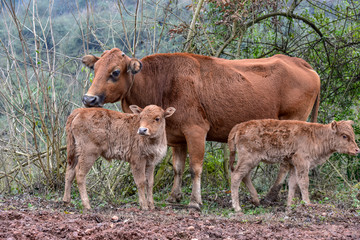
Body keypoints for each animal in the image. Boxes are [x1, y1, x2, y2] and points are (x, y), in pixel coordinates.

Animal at [80, 47, 320, 209]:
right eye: (95, 68)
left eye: (115, 72)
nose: (89, 98)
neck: (161, 82)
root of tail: (299, 62)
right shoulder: (176, 135)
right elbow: (178, 167)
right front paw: (174, 196)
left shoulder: (196, 130)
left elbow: (195, 167)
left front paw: (195, 201)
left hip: (293, 122)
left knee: (286, 164)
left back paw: (271, 195)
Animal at [229, 119, 358, 212]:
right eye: (344, 136)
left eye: (353, 134)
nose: (357, 150)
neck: (317, 136)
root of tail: (239, 126)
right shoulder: (302, 162)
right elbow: (304, 183)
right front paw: (307, 203)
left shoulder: (293, 165)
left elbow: (292, 184)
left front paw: (290, 206)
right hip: (248, 159)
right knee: (236, 176)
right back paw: (237, 208)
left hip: (251, 161)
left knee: (245, 176)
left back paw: (256, 201)